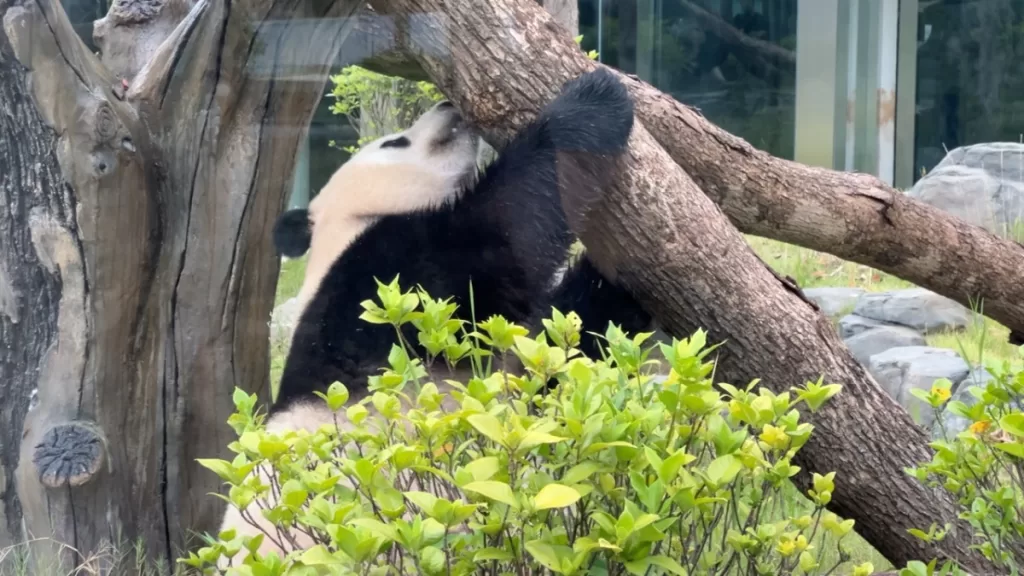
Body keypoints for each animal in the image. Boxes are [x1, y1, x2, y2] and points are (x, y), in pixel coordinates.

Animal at [215, 69, 655, 563]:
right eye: (395, 141)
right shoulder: (383, 288)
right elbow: (501, 236)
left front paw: (623, 279)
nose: (447, 106)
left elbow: (556, 357)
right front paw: (591, 100)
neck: (340, 231)